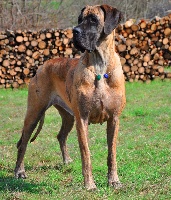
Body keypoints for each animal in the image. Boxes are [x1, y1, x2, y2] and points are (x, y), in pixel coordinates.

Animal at [14, 3, 125, 190]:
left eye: (93, 20)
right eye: (79, 19)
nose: (75, 31)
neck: (99, 67)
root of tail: (42, 66)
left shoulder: (114, 119)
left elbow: (112, 153)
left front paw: (114, 180)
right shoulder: (83, 119)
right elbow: (86, 153)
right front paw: (89, 184)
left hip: (68, 116)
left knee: (60, 136)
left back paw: (66, 161)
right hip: (34, 113)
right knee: (23, 142)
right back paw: (19, 171)